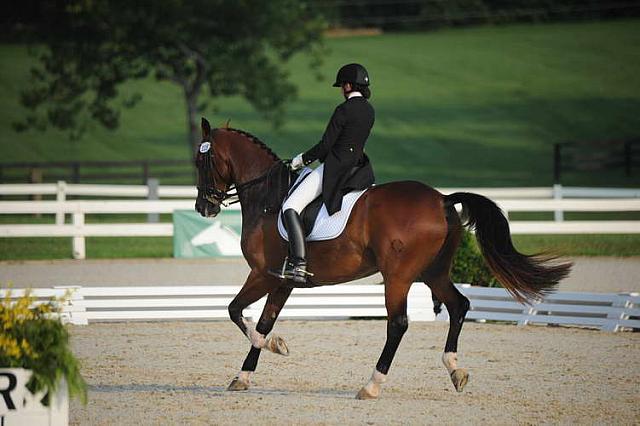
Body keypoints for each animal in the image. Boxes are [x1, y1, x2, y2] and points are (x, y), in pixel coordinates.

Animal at [194, 117, 568, 400]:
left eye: (201, 161)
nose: (203, 207)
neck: (267, 197)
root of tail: (442, 200)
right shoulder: (282, 280)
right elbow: (263, 320)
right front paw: (243, 376)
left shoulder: (263, 273)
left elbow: (236, 312)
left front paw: (275, 346)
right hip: (433, 272)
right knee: (458, 305)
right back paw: (455, 370)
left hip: (398, 276)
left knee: (398, 324)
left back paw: (371, 385)